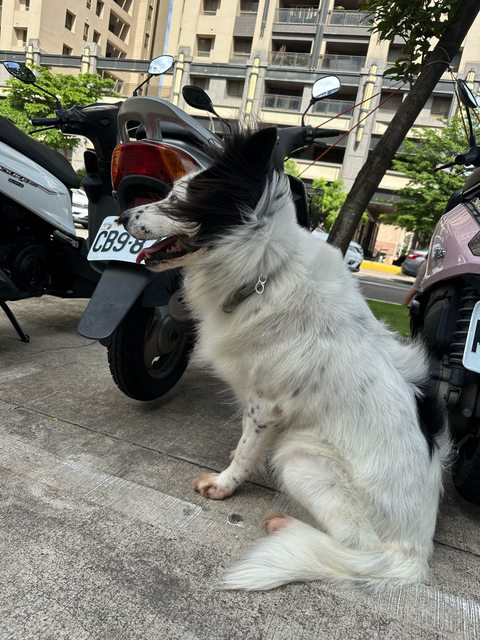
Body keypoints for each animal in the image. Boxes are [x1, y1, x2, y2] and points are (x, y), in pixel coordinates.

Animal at [120, 127, 451, 591]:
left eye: (178, 200)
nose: (121, 217)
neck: (264, 268)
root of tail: (413, 556)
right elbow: (245, 445)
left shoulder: (266, 406)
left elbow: (245, 452)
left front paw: (224, 484)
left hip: (299, 457)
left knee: (358, 548)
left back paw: (286, 526)